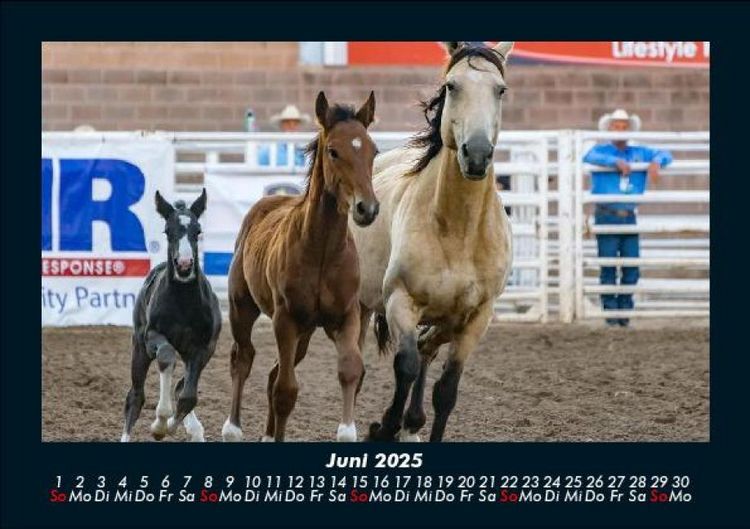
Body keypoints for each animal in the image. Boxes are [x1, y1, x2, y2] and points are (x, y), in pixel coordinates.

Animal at [121, 189, 221, 442]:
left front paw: (174, 426)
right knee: (135, 396)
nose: (184, 265)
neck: (183, 304)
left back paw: (194, 429)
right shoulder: (152, 338)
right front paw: (160, 423)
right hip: (139, 348)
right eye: (168, 230)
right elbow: (166, 356)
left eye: (198, 231)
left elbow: (188, 396)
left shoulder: (203, 348)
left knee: (179, 387)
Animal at [222, 91, 379, 442]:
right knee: (244, 358)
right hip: (242, 308)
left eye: (373, 150)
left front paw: (347, 430)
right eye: (333, 151)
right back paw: (233, 428)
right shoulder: (286, 320)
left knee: (272, 372)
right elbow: (286, 391)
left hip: (305, 333)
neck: (322, 251)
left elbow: (350, 370)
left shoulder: (346, 316)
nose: (368, 208)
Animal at [350, 41, 514, 442]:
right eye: (452, 86)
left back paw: (412, 422)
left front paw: (408, 422)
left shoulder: (476, 318)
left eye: (500, 90)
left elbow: (447, 390)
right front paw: (384, 427)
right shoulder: (400, 301)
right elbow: (405, 365)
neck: (458, 230)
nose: (477, 153)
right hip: (360, 306)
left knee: (427, 349)